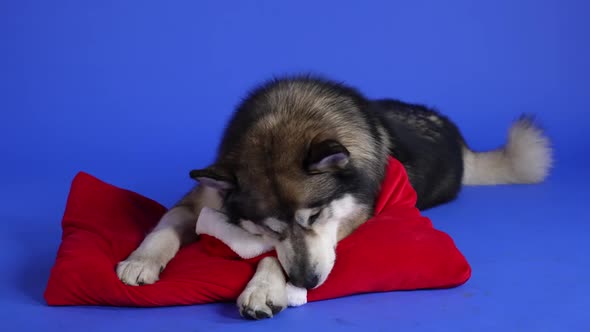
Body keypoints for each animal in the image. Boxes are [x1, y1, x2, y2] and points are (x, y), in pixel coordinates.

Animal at [117, 75, 556, 320]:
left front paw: (265, 285)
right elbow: (168, 222)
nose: (306, 281)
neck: (285, 118)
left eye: (314, 217)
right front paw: (141, 260)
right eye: (268, 230)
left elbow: (272, 260)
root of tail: (459, 140)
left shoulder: (353, 220)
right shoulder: (206, 193)